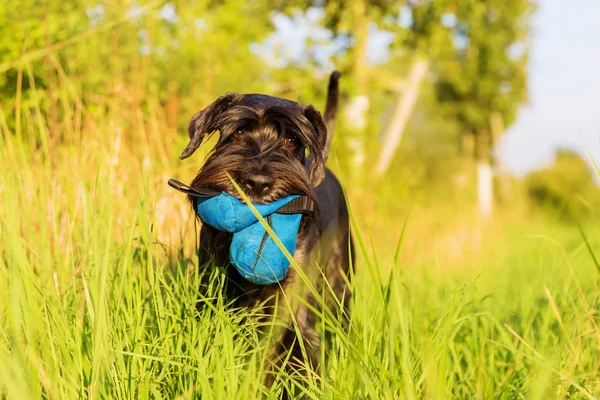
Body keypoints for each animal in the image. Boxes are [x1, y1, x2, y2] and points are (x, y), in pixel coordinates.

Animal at [180, 72, 354, 390]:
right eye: (237, 133)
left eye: (291, 139)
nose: (257, 183)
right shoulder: (211, 282)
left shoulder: (290, 301)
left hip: (339, 287)